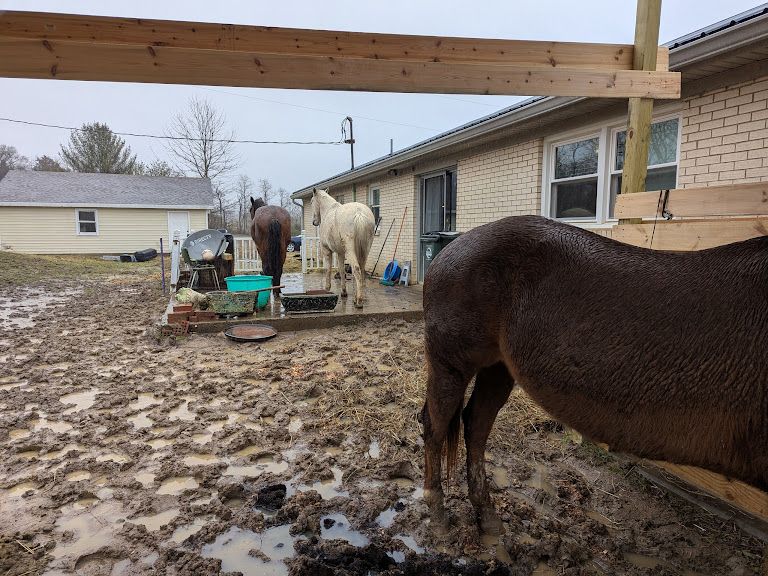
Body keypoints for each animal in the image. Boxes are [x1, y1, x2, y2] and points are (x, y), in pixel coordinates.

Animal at [421, 215, 768, 535]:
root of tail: (450, 249)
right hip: (450, 367)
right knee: (434, 427)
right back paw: (437, 516)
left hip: (497, 369)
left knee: (476, 427)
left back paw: (487, 515)